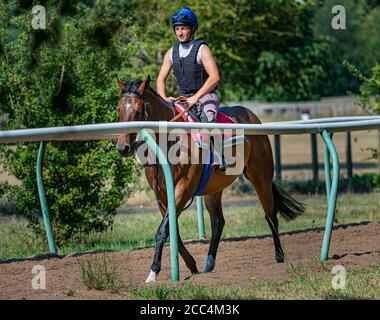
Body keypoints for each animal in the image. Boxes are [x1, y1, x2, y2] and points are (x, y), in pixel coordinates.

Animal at [116, 75, 306, 282]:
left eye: (137, 111)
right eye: (118, 109)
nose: (123, 148)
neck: (171, 142)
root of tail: (251, 116)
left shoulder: (184, 189)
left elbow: (163, 230)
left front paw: (153, 271)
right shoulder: (161, 195)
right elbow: (172, 230)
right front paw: (191, 265)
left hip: (260, 178)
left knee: (270, 214)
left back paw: (279, 256)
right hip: (214, 188)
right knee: (218, 223)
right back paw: (208, 263)